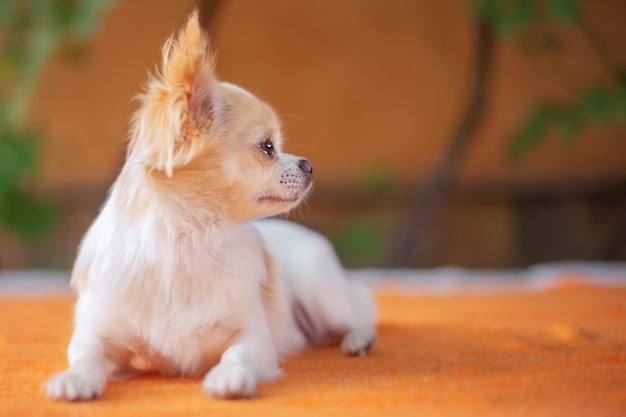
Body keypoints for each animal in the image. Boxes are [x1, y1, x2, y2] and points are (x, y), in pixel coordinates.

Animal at [46, 9, 376, 400]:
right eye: (267, 147)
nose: (309, 165)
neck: (193, 243)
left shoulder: (254, 338)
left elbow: (237, 354)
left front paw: (229, 378)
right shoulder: (97, 333)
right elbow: (86, 355)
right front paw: (75, 378)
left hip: (322, 295)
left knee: (359, 315)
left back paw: (358, 340)